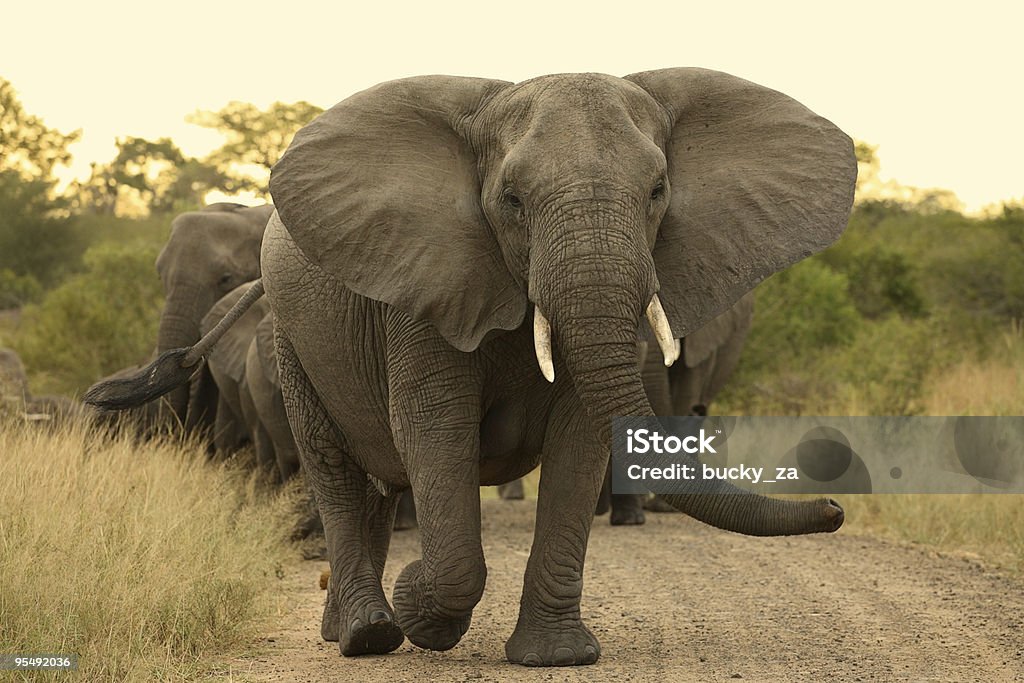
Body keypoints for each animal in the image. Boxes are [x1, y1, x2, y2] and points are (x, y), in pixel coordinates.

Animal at [88, 68, 856, 667]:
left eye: (658, 192)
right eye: (511, 200)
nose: (834, 508)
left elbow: (579, 439)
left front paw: (556, 657)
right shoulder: (424, 289)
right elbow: (436, 433)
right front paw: (419, 601)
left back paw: (357, 622)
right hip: (291, 341)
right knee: (336, 468)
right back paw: (365, 635)